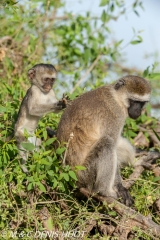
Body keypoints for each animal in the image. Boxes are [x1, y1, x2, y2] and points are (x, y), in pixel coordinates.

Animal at [56, 75, 151, 206]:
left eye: (141, 103)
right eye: (133, 101)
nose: (138, 111)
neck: (116, 98)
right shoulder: (115, 115)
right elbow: (112, 142)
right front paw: (120, 187)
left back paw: (135, 162)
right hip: (85, 174)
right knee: (108, 142)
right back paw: (105, 191)